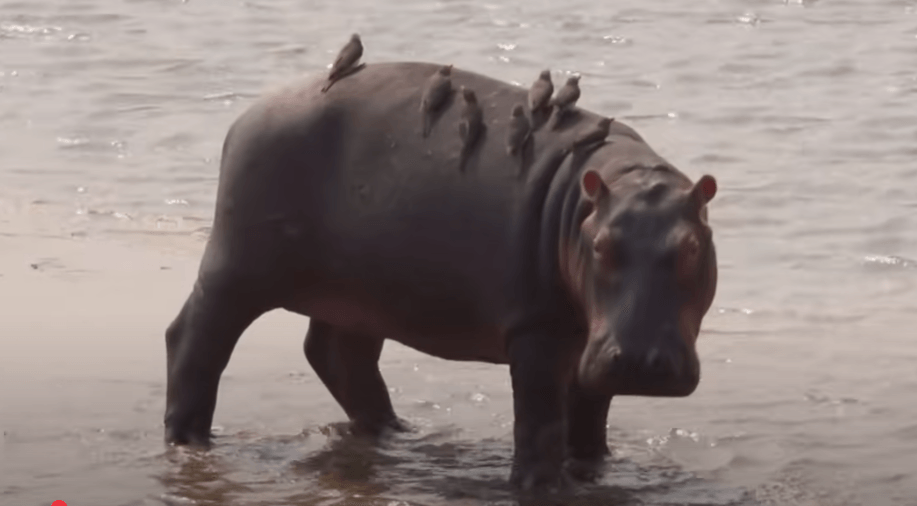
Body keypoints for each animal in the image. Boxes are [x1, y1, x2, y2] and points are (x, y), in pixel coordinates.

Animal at [163, 61, 719, 491]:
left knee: (337, 353)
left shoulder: (591, 339)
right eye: (601, 245)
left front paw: (593, 471)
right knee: (194, 339)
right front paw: (540, 485)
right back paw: (189, 441)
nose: (642, 361)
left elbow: (588, 414)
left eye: (692, 246)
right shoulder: (536, 327)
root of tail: (247, 115)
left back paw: (396, 431)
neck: (617, 186)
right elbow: (539, 415)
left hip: (356, 291)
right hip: (237, 269)